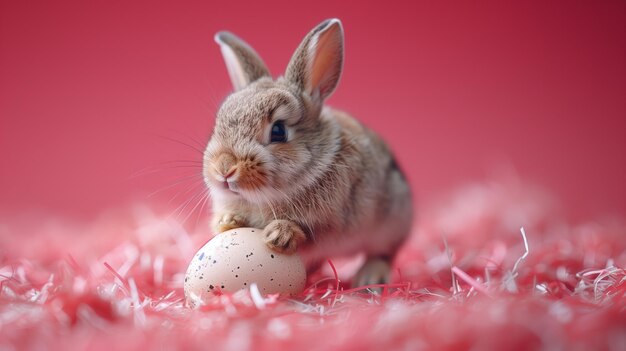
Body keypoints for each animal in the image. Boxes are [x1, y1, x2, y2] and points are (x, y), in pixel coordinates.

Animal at [202, 18, 412, 288]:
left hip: (390, 222)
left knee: (383, 253)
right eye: (218, 122)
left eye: (278, 131)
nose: (224, 168)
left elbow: (310, 234)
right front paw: (227, 222)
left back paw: (370, 278)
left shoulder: (332, 224)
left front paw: (278, 235)